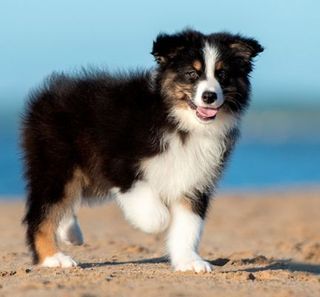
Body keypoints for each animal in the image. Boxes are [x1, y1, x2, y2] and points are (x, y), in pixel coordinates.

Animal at [21, 28, 262, 272]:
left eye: (223, 75)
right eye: (191, 74)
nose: (209, 96)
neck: (178, 122)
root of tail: (47, 94)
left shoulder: (195, 178)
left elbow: (189, 225)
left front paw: (189, 261)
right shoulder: (119, 165)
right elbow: (156, 212)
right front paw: (158, 222)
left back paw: (69, 233)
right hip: (58, 163)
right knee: (42, 212)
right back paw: (53, 258)